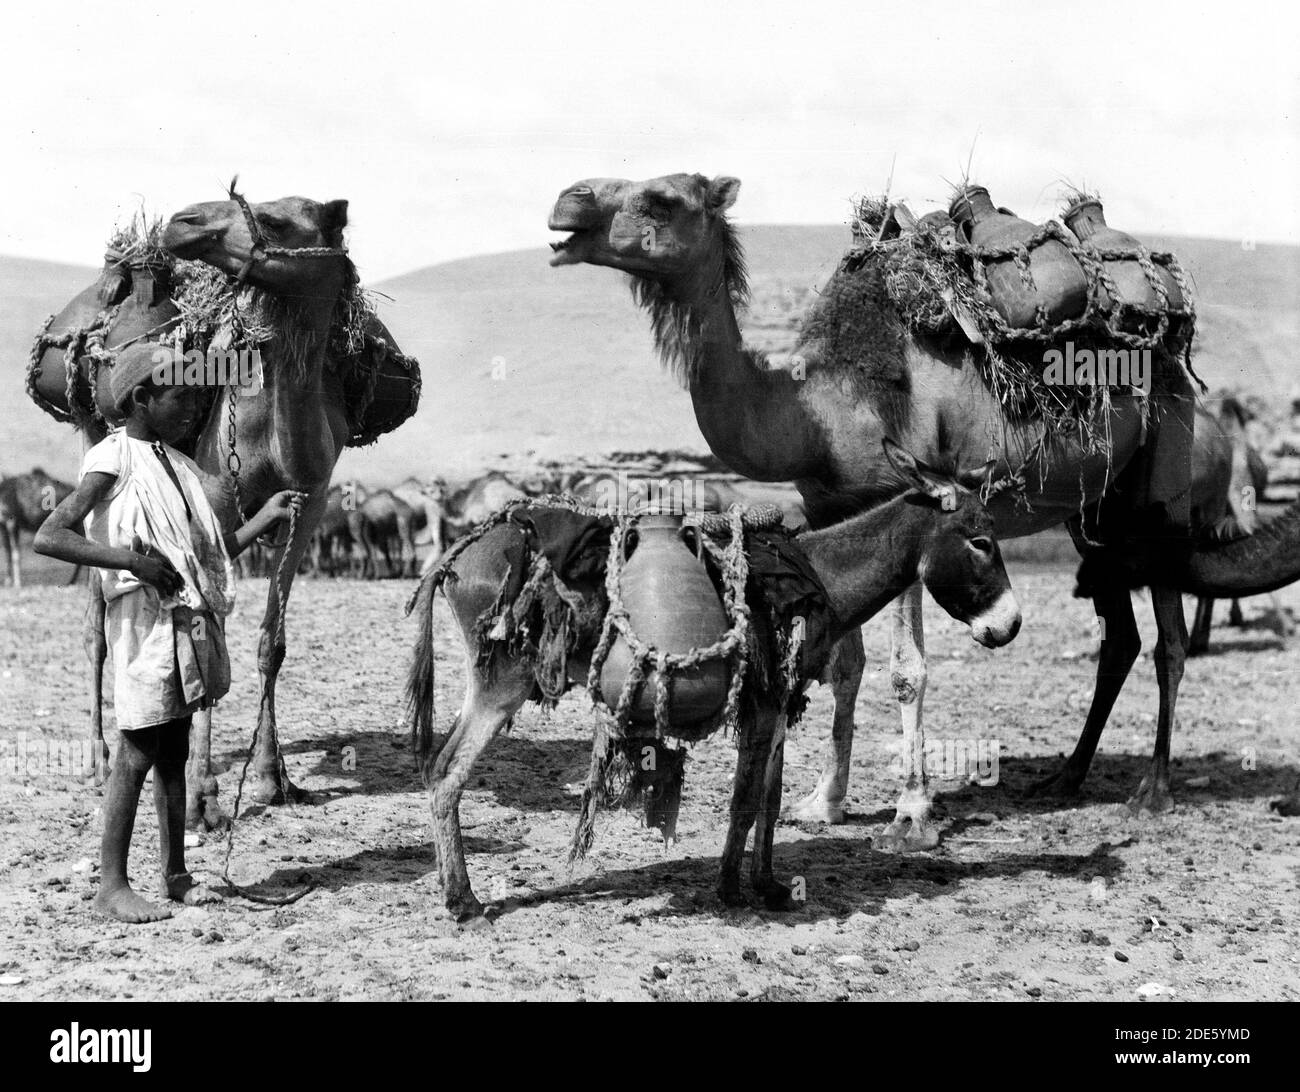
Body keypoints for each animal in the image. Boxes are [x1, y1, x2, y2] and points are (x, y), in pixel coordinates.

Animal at [410, 444, 1019, 920]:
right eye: (981, 541)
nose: (1011, 625)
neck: (815, 575)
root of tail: (457, 553)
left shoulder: (776, 705)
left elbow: (769, 798)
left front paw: (769, 886)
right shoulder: (764, 708)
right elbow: (745, 800)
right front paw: (729, 890)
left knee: (438, 768)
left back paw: (457, 894)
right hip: (502, 682)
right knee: (447, 773)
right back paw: (463, 903)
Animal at [548, 172, 1300, 837]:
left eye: (662, 197)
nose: (567, 203)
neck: (817, 407)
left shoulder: (907, 495)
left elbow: (907, 672)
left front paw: (910, 812)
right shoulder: (830, 509)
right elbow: (844, 664)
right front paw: (825, 802)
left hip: (1159, 487)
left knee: (1168, 642)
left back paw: (1153, 792)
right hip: (1095, 515)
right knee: (1122, 637)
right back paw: (1065, 776)